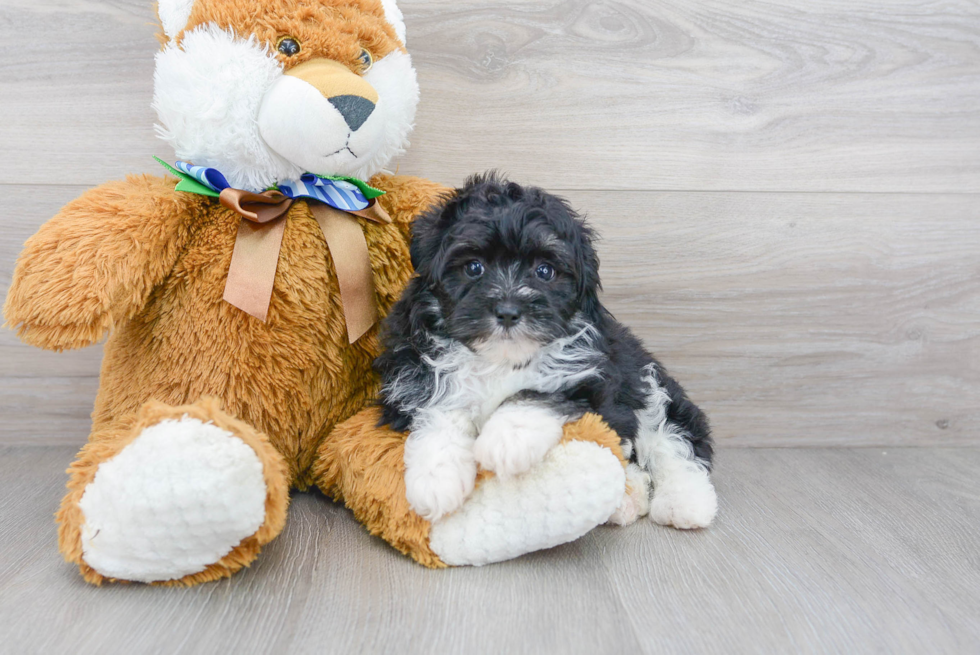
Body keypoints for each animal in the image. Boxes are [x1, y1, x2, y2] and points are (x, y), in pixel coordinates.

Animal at [372, 173, 716, 528]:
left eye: (544, 271)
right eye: (474, 267)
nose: (508, 311)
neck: (499, 358)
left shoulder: (595, 381)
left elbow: (538, 393)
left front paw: (506, 439)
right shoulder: (412, 371)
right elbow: (439, 406)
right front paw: (435, 479)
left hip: (648, 383)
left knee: (672, 440)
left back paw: (684, 503)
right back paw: (628, 499)